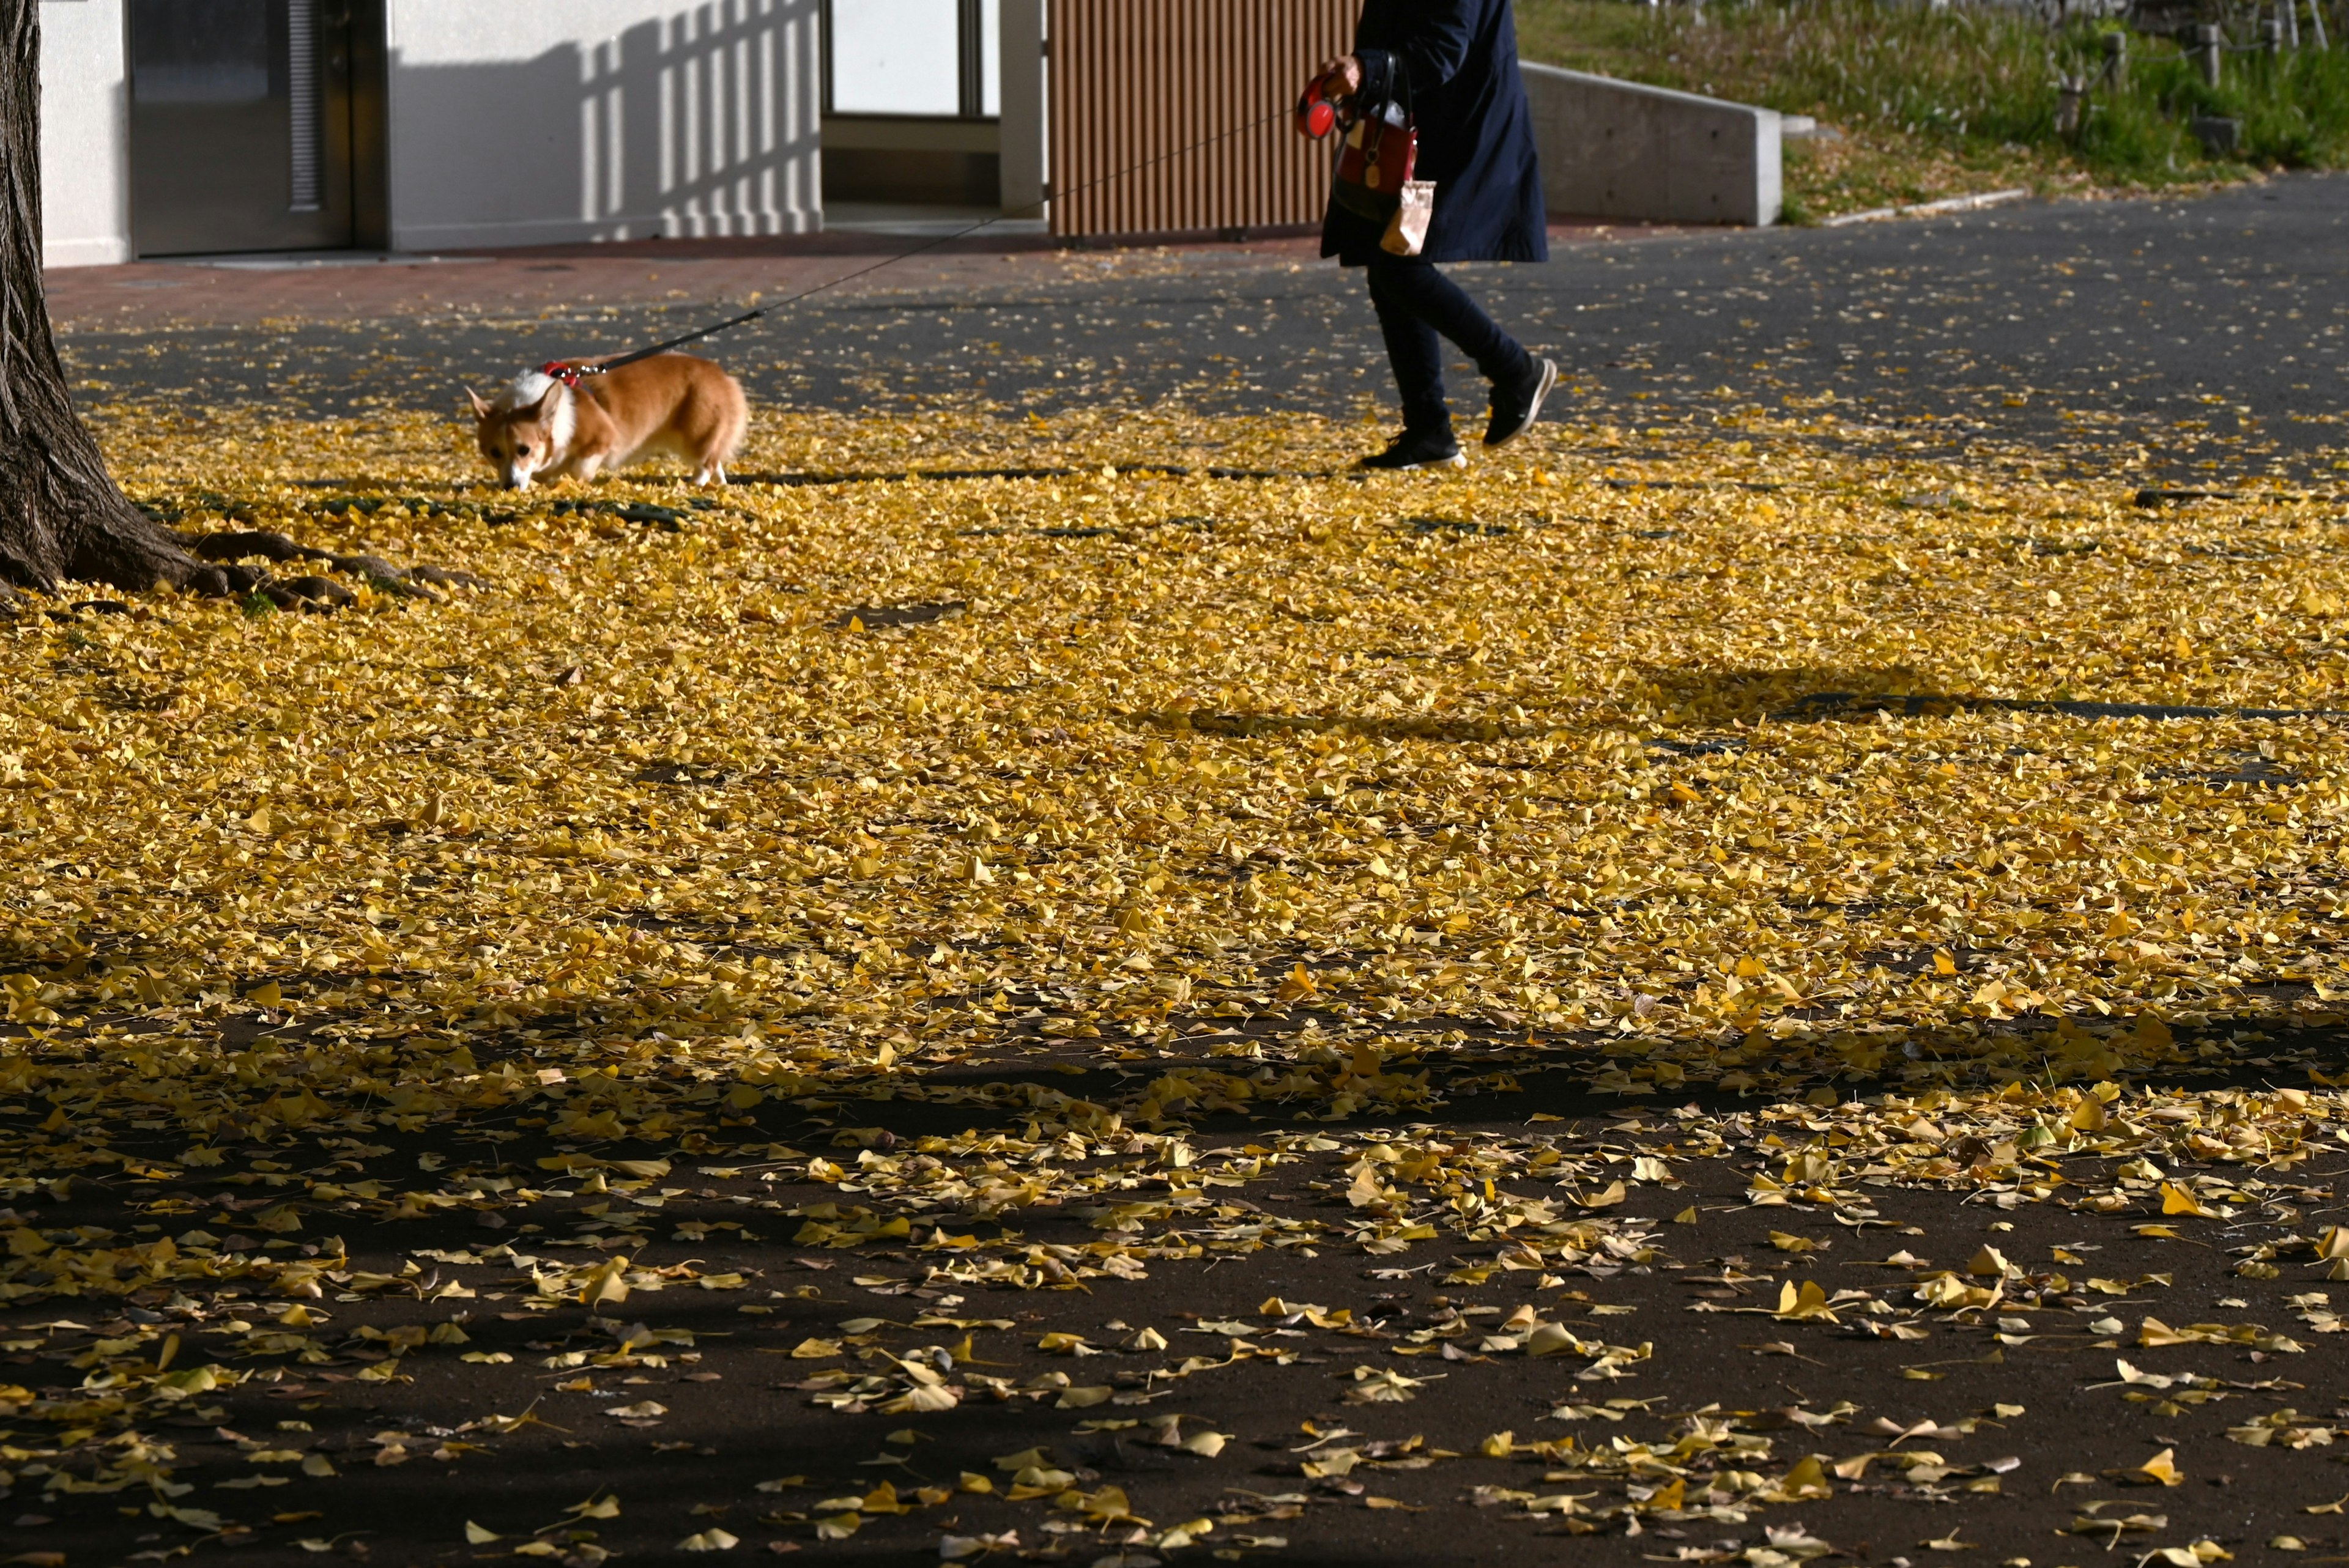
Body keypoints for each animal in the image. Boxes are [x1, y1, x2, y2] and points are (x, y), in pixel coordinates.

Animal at [465, 352, 742, 493]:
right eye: (494, 452)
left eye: (524, 450)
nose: (509, 487)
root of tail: (722, 375)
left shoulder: (604, 437)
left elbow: (579, 468)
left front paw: (579, 479)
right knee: (714, 461)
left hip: (694, 434)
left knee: (706, 462)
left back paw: (694, 484)